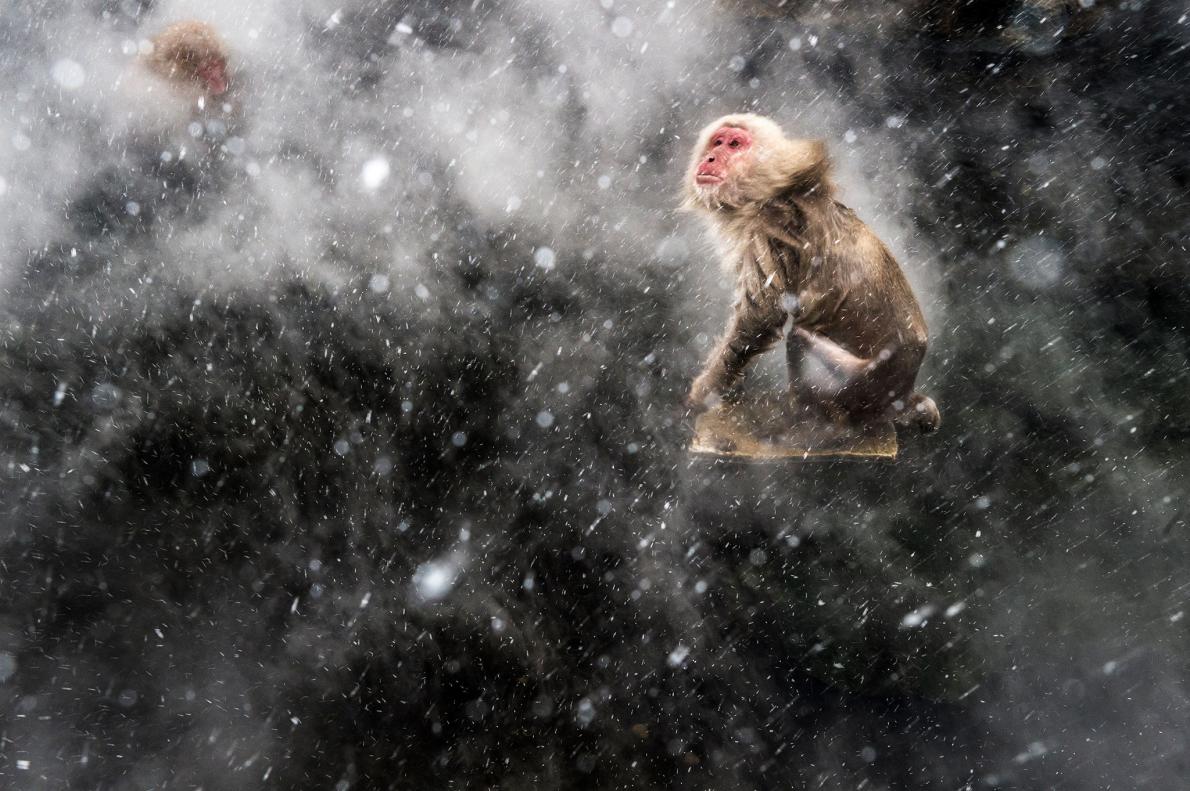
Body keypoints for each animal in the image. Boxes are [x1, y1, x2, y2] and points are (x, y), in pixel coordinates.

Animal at [690, 113, 937, 428]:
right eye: (717, 142)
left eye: (734, 144)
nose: (709, 158)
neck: (775, 187)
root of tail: (903, 394)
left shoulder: (770, 223)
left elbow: (762, 314)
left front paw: (706, 390)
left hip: (859, 384)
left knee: (800, 337)